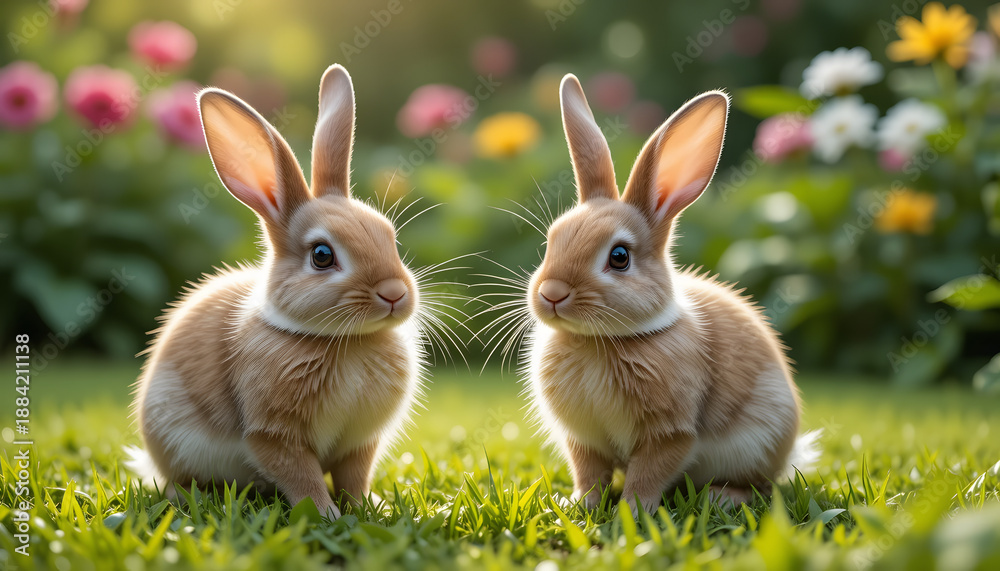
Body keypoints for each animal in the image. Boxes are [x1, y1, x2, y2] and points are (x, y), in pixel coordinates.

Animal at [126, 64, 422, 521]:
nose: (394, 293)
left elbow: (354, 478)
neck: (345, 341)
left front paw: (367, 508)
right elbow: (302, 478)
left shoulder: (360, 442)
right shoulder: (273, 436)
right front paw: (326, 515)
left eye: (391, 238)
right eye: (322, 256)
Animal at [525, 74, 820, 515]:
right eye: (550, 241)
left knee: (762, 488)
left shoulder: (671, 434)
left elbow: (647, 476)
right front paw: (579, 505)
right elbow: (589, 474)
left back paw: (721, 497)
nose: (552, 293)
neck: (599, 341)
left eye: (619, 257)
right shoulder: (583, 439)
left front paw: (631, 513)